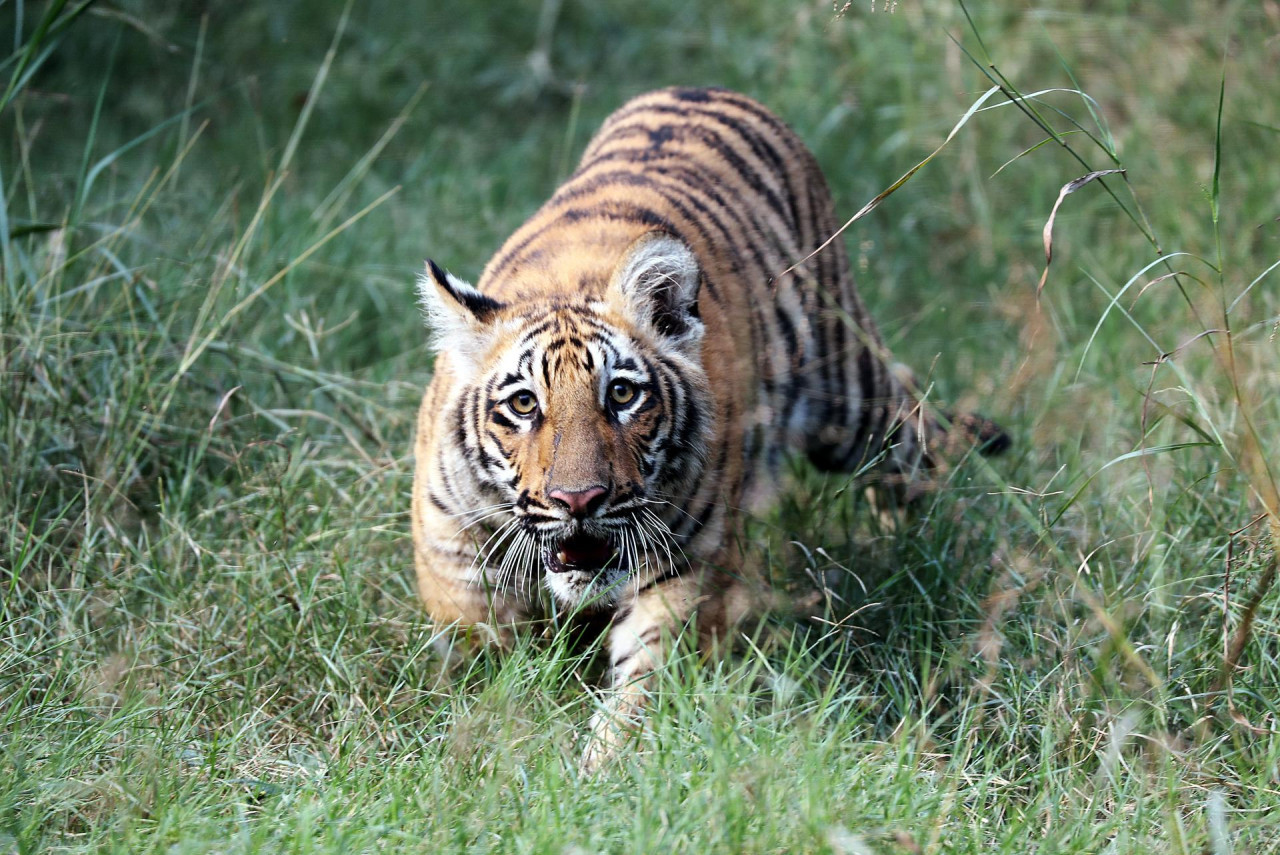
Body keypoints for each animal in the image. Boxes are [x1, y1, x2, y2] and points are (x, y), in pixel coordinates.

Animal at [414, 85, 1003, 767]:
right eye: (525, 405)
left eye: (621, 395)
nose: (578, 500)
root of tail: (701, 89)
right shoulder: (452, 550)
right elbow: (484, 657)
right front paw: (492, 727)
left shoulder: (688, 566)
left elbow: (643, 678)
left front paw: (600, 770)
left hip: (849, 398)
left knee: (910, 433)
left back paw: (928, 542)